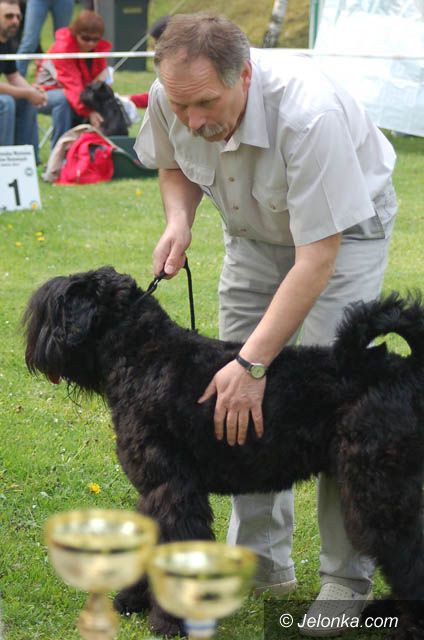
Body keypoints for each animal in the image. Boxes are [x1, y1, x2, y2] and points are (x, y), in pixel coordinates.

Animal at [23, 266, 424, 638]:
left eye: (53, 307)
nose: (35, 353)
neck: (143, 355)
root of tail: (408, 368)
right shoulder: (154, 490)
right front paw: (133, 600)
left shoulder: (173, 490)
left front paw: (169, 620)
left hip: (380, 493)